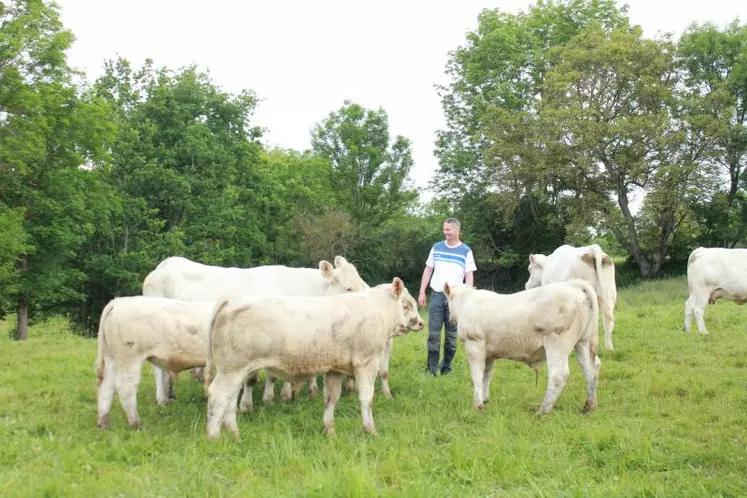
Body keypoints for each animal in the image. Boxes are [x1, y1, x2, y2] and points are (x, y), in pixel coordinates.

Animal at [95, 296, 215, 428]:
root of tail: (117, 302)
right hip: (130, 358)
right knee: (125, 387)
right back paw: (136, 423)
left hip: (111, 358)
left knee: (107, 386)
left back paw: (104, 423)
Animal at [141, 256, 368, 408]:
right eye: (348, 288)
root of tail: (163, 266)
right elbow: (253, 377)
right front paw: (248, 404)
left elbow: (275, 375)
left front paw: (278, 397)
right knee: (157, 369)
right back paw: (161, 399)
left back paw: (170, 394)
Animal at [205, 276, 426, 440]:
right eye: (406, 305)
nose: (421, 322)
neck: (376, 310)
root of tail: (232, 300)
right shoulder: (367, 363)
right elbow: (366, 398)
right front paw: (370, 430)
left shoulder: (335, 368)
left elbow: (331, 398)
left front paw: (330, 430)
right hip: (232, 369)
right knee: (218, 396)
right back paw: (214, 437)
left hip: (236, 371)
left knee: (230, 399)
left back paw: (234, 434)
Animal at [444, 280, 600, 416]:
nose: (449, 317)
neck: (466, 302)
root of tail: (574, 284)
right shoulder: (489, 354)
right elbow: (486, 375)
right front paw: (485, 400)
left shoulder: (474, 344)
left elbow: (476, 375)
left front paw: (477, 406)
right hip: (583, 341)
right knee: (591, 370)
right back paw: (588, 406)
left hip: (556, 343)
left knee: (558, 374)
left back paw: (542, 411)